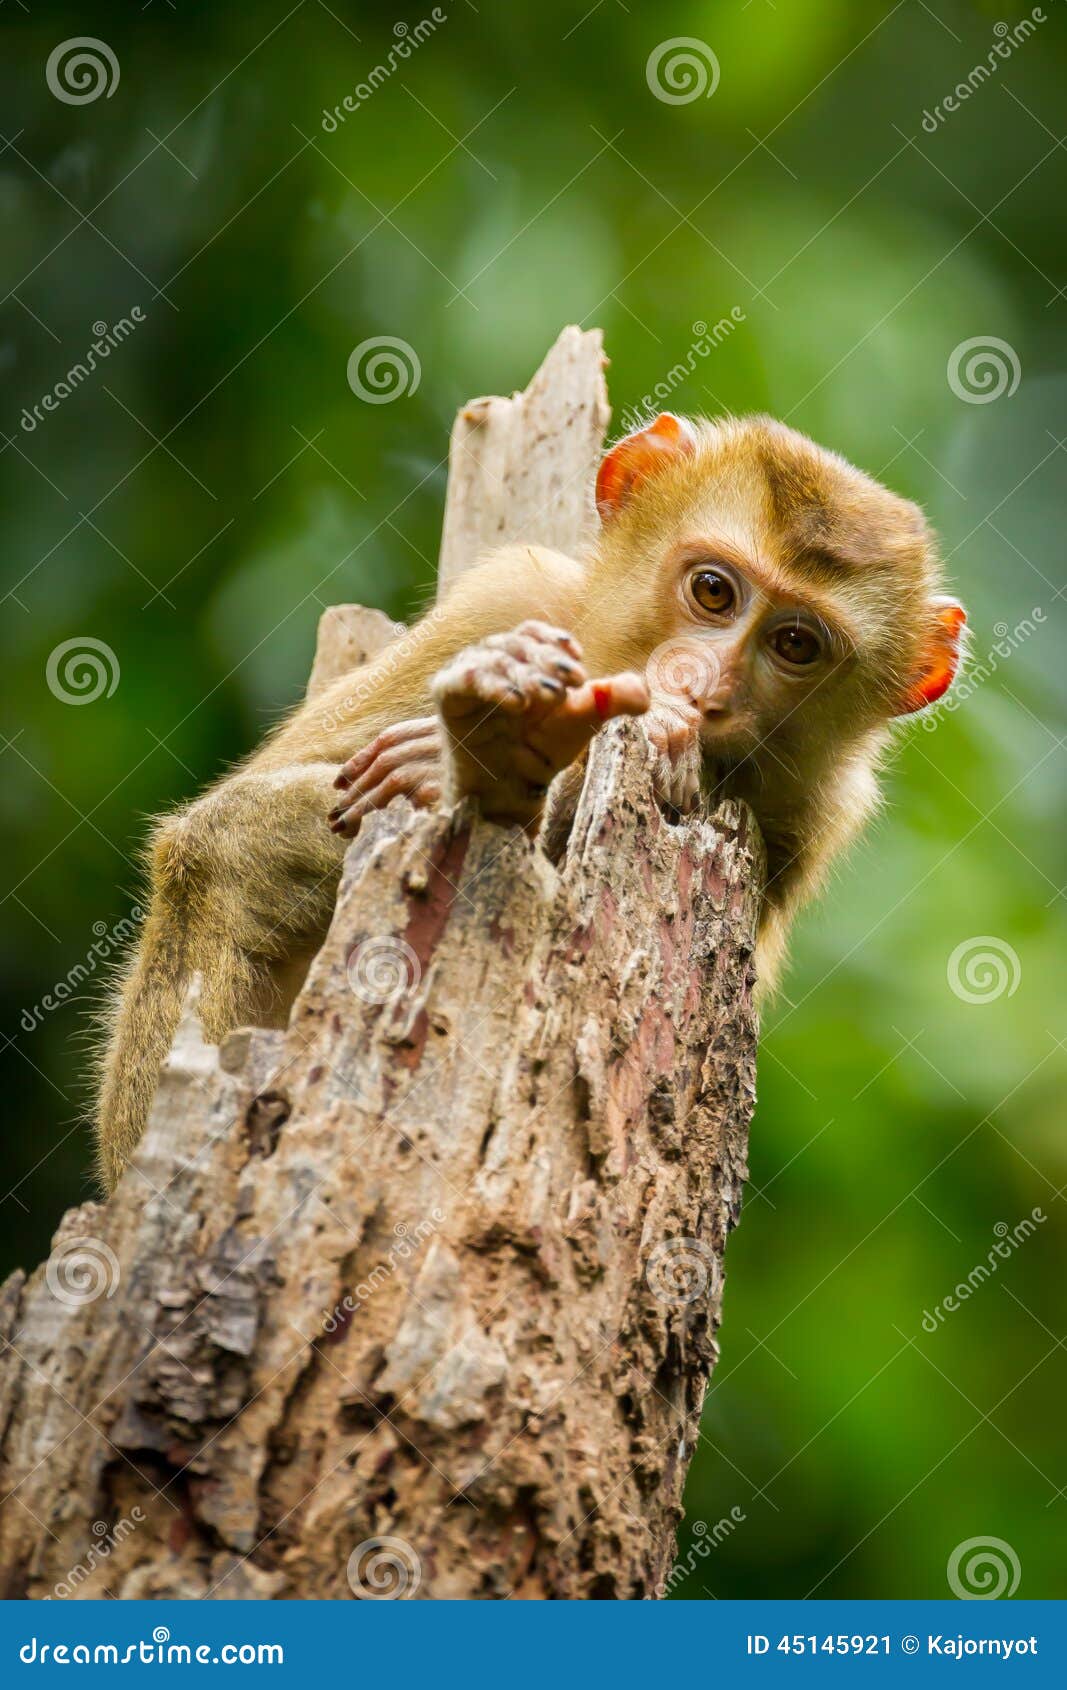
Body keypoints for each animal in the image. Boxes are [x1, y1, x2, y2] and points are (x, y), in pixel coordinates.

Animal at [95, 415, 967, 1189]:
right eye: (713, 591)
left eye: (794, 644)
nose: (702, 685)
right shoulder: (511, 596)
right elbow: (257, 800)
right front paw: (480, 744)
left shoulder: (812, 813)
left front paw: (488, 764)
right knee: (219, 854)